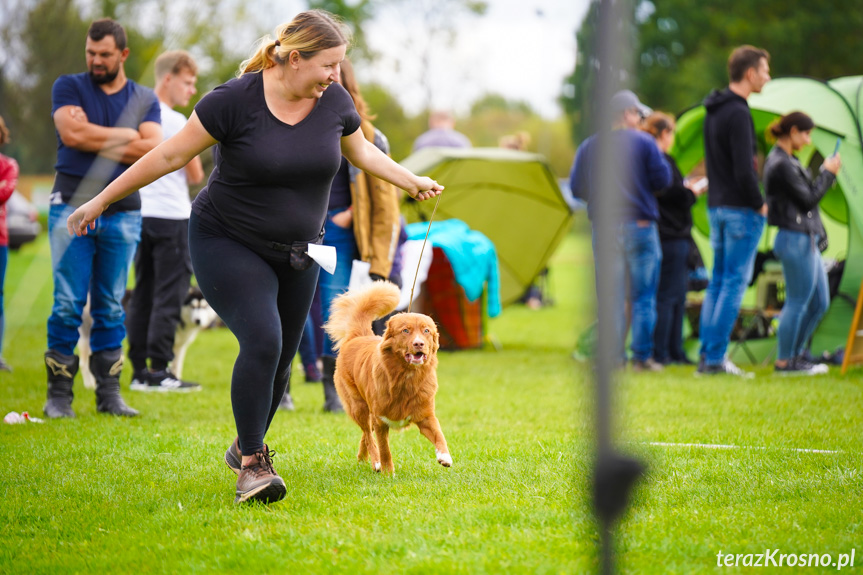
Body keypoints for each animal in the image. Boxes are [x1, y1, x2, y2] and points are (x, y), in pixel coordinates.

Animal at [326, 282, 456, 474]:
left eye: (426, 331)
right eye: (405, 330)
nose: (419, 343)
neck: (407, 377)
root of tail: (358, 336)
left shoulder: (425, 416)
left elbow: (439, 434)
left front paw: (445, 456)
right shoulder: (380, 419)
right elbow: (384, 448)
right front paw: (388, 472)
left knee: (366, 435)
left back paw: (362, 458)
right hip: (359, 407)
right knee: (368, 435)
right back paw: (375, 462)